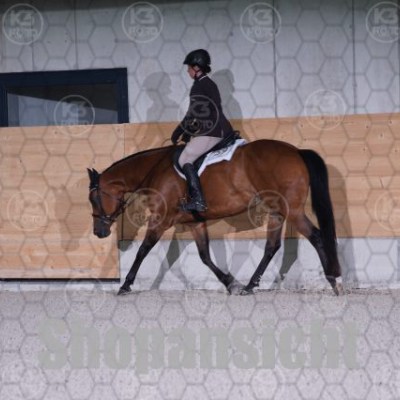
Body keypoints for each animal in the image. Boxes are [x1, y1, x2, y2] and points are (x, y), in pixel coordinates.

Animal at [87, 139, 342, 296]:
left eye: (93, 199)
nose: (98, 232)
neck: (155, 170)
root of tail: (296, 151)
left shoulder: (161, 219)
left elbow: (143, 250)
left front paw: (125, 285)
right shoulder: (195, 222)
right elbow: (204, 256)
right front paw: (231, 283)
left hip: (293, 210)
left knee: (316, 236)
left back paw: (334, 281)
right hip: (277, 211)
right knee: (272, 246)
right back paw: (249, 286)